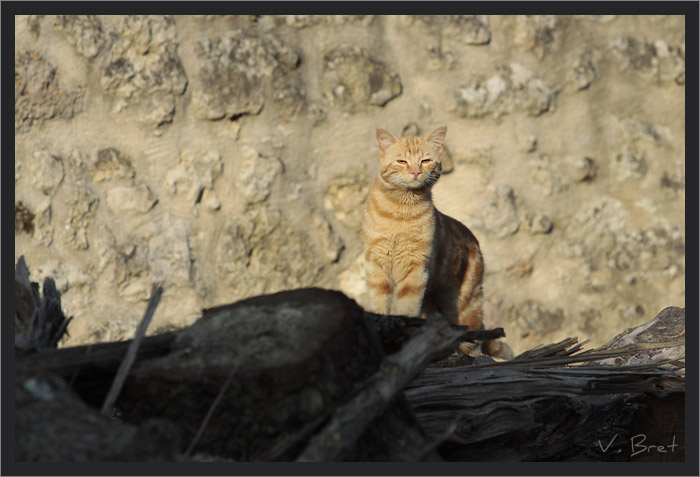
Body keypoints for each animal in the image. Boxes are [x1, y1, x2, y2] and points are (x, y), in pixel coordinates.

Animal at [364, 126, 512, 356]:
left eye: (425, 161)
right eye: (402, 162)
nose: (415, 172)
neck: (401, 212)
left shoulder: (415, 270)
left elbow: (407, 309)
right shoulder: (377, 267)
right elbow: (380, 307)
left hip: (464, 306)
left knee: (473, 344)